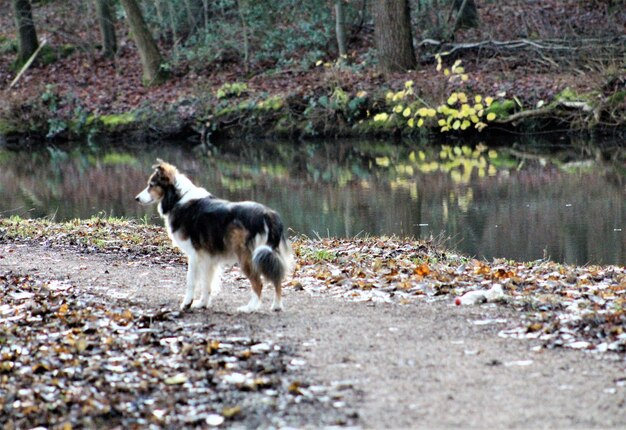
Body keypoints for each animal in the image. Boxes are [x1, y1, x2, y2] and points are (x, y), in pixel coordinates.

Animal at [134, 159, 292, 312]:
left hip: (247, 256)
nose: (136, 198)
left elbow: (191, 281)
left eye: (151, 185)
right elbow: (206, 283)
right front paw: (202, 304)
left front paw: (187, 303)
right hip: (267, 254)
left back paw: (250, 307)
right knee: (277, 278)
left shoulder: (194, 254)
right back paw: (277, 305)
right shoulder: (208, 257)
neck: (178, 198)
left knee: (258, 283)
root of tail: (267, 214)